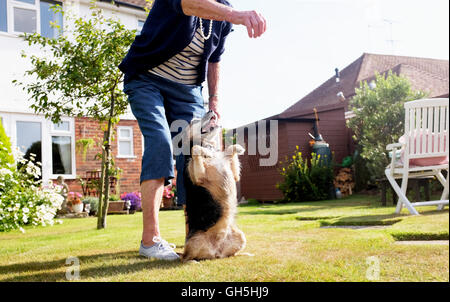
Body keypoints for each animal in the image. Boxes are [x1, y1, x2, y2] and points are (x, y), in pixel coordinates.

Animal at [181, 111, 248, 262]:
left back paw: (243, 254)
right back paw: (193, 261)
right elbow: (195, 149)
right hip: (193, 241)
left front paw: (237, 147)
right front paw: (204, 152)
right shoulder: (198, 178)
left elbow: (230, 151)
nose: (211, 111)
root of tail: (215, 252)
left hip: (241, 236)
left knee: (231, 253)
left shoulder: (235, 175)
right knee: (184, 257)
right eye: (194, 120)